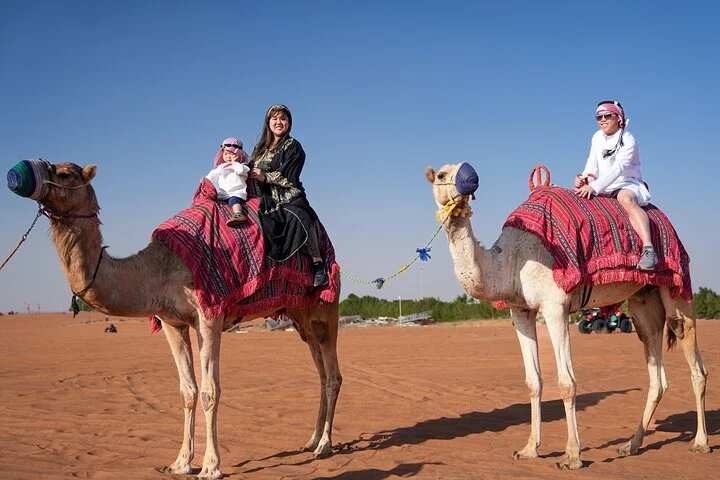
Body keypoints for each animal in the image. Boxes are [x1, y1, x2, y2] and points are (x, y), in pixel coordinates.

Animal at [13, 162, 342, 479]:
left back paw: (325, 445)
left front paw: (211, 467)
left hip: (326, 307)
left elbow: (210, 391)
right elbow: (187, 391)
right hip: (300, 316)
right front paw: (181, 462)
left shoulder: (209, 318)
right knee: (320, 370)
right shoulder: (172, 323)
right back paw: (311, 440)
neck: (158, 270)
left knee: (333, 375)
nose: (20, 175)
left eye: (65, 174)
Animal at [426, 163, 709, 469]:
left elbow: (566, 383)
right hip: (643, 298)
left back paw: (700, 443)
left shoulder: (555, 307)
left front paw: (572, 456)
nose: (471, 178)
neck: (512, 260)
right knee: (657, 371)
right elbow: (533, 382)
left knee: (694, 360)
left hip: (677, 283)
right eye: (441, 175)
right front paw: (529, 449)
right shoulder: (521, 312)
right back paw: (630, 445)